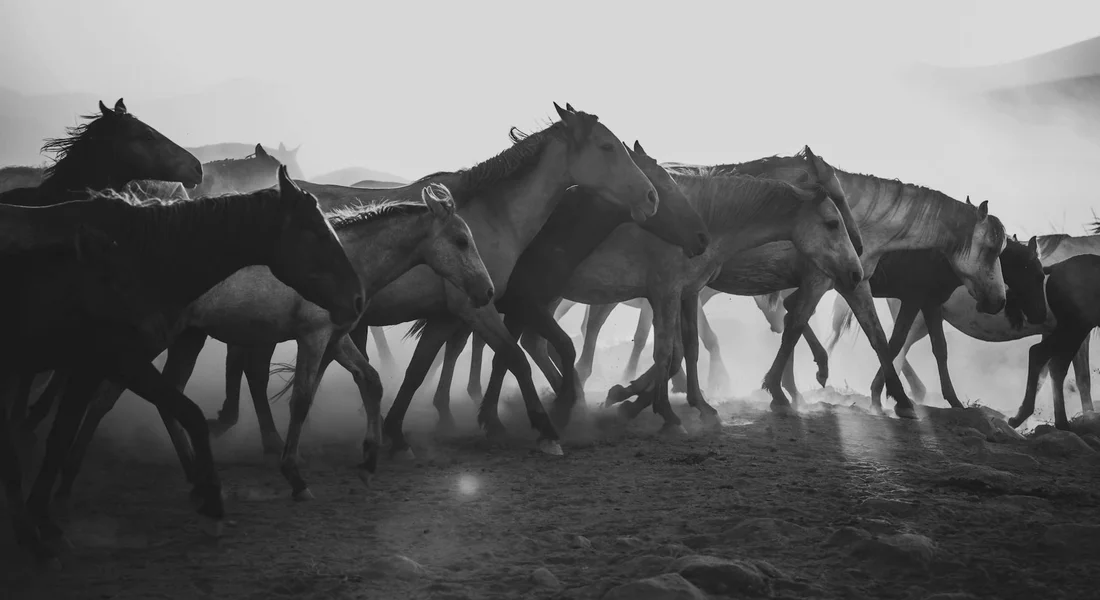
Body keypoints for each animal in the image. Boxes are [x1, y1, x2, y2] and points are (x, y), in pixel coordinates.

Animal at [0, 166, 362, 561]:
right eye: (315, 232)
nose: (358, 298)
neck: (132, 262)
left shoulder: (91, 368)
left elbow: (60, 437)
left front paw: (44, 523)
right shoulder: (120, 361)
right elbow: (189, 414)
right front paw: (213, 507)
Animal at [57, 184, 493, 501]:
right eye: (461, 240)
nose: (487, 291)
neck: (346, 262)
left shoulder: (336, 339)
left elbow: (370, 380)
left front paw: (369, 460)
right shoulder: (314, 338)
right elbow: (301, 400)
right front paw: (295, 476)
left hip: (188, 338)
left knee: (169, 395)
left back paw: (194, 475)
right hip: (151, 341)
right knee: (104, 398)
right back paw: (69, 477)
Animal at [206, 102, 659, 460]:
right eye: (606, 147)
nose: (652, 197)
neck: (490, 215)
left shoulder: (446, 316)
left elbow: (419, 370)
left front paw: (397, 434)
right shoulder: (478, 309)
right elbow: (515, 359)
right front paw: (546, 429)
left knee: (251, 366)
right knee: (252, 368)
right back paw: (264, 437)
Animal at [409, 140, 710, 437]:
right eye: (662, 187)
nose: (702, 237)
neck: (549, 236)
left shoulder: (523, 309)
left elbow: (506, 358)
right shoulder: (524, 304)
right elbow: (533, 352)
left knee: (457, 346)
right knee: (455, 347)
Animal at [826, 236, 1049, 413]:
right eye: (1037, 275)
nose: (1041, 314)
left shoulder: (930, 304)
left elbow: (940, 349)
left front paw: (954, 401)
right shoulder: (913, 299)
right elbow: (896, 342)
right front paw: (880, 395)